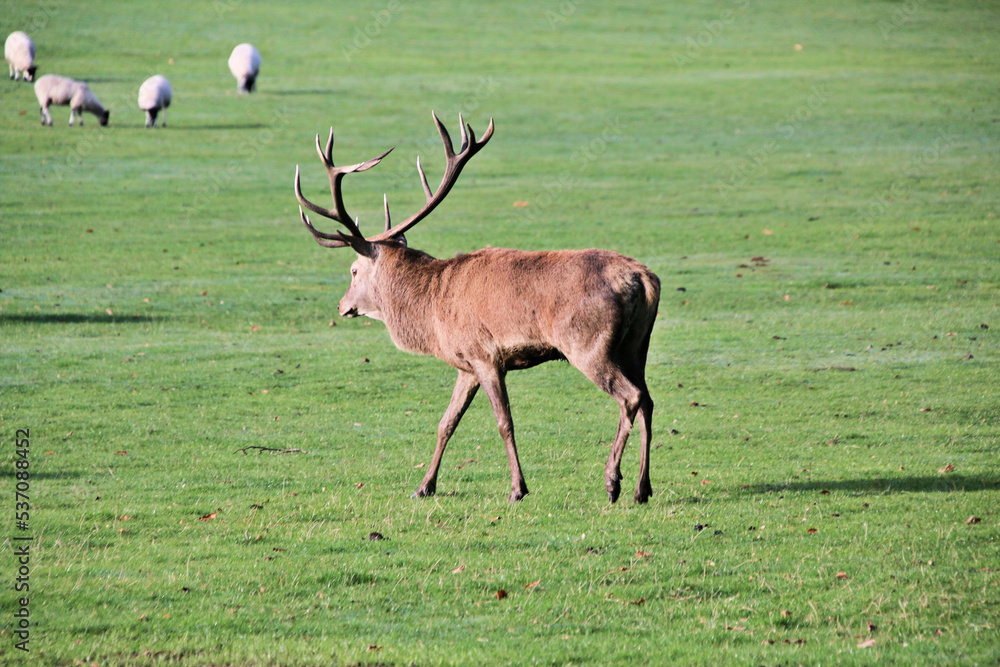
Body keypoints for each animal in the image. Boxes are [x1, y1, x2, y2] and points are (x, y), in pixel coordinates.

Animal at [294, 113, 660, 503]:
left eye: (353, 270)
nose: (342, 305)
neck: (431, 311)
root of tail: (645, 278)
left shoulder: (485, 355)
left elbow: (504, 422)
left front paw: (517, 489)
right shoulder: (465, 365)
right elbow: (446, 422)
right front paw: (424, 486)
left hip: (589, 345)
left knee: (630, 397)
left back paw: (612, 481)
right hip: (635, 345)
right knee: (648, 400)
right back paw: (642, 488)